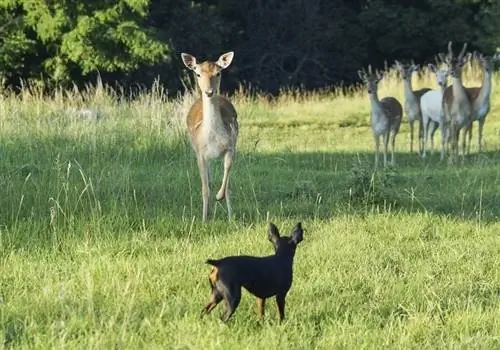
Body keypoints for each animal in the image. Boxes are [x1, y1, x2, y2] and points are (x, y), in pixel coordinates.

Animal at [182, 51, 240, 221]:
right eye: (198, 73)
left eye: (218, 73)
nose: (209, 92)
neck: (213, 138)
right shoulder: (200, 153)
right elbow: (205, 187)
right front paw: (204, 219)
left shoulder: (231, 146)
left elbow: (227, 177)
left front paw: (221, 199)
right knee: (208, 180)